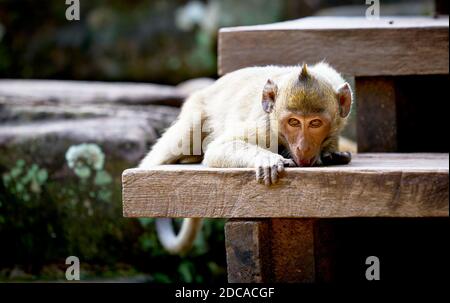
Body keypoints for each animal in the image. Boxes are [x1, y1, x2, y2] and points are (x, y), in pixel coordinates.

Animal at [141, 63, 356, 255]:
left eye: (315, 123)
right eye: (294, 122)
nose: (303, 147)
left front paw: (330, 153)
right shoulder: (264, 129)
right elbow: (217, 149)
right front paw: (267, 159)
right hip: (195, 109)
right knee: (185, 136)